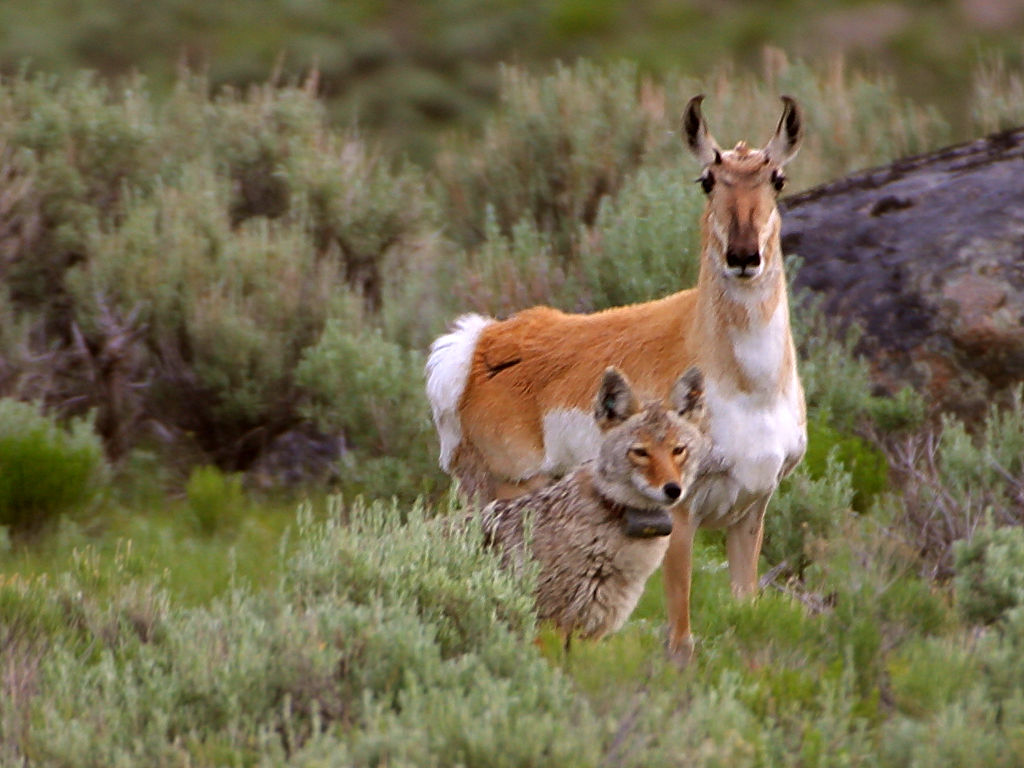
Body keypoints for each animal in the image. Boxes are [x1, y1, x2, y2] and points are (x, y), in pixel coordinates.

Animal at [425, 96, 806, 663]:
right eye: (706, 180)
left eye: (777, 178)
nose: (742, 256)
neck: (748, 387)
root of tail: (479, 345)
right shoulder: (682, 512)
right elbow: (680, 636)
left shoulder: (750, 510)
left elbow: (748, 615)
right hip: (509, 498)